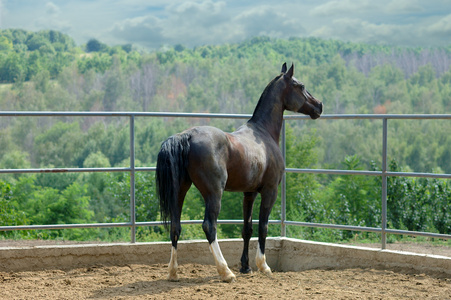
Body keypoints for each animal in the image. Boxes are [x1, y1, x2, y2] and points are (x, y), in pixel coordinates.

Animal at [157, 62, 324, 282]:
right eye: (301, 85)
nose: (319, 105)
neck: (263, 134)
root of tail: (187, 136)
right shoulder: (270, 191)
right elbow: (263, 226)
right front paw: (263, 266)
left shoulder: (249, 193)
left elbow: (247, 228)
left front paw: (246, 266)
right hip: (214, 194)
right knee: (209, 226)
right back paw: (225, 271)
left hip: (180, 191)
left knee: (175, 227)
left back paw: (173, 272)